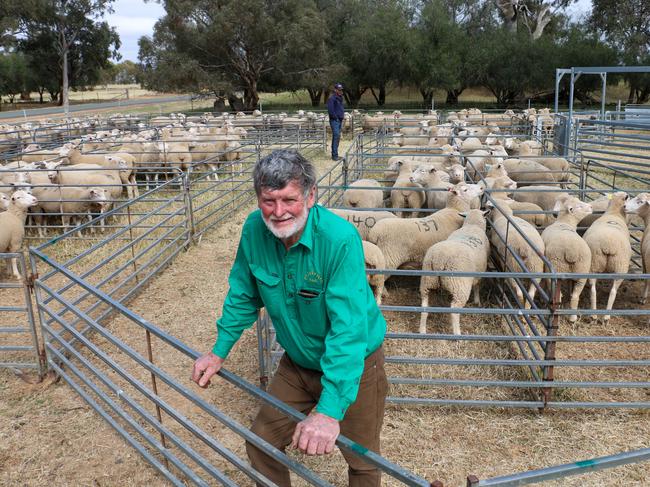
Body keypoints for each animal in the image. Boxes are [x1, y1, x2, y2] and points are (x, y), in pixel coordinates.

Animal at [540, 194, 588, 324]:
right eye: (579, 205)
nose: (591, 206)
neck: (565, 222)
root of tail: (572, 251)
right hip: (581, 273)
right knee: (575, 296)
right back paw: (572, 319)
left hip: (558, 268)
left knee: (558, 296)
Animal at [584, 192, 628, 324]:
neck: (614, 212)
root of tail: (608, 245)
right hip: (621, 267)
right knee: (613, 291)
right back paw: (606, 317)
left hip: (593, 264)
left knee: (593, 290)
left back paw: (594, 316)